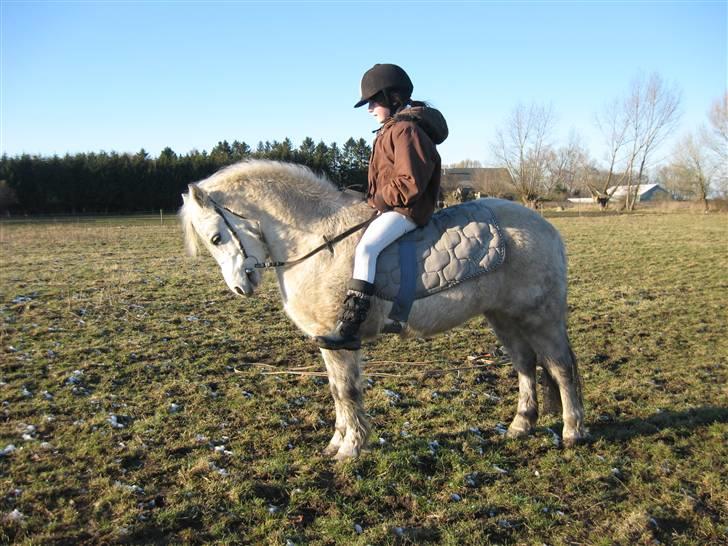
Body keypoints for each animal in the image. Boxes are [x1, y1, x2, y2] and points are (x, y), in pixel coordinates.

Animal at [181, 159, 584, 456]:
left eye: (216, 237)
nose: (241, 286)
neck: (317, 239)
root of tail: (546, 227)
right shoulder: (327, 341)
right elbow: (336, 391)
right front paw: (336, 444)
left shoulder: (341, 340)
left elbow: (347, 391)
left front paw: (350, 449)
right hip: (503, 317)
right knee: (525, 364)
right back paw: (521, 425)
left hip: (540, 317)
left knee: (561, 368)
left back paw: (572, 432)